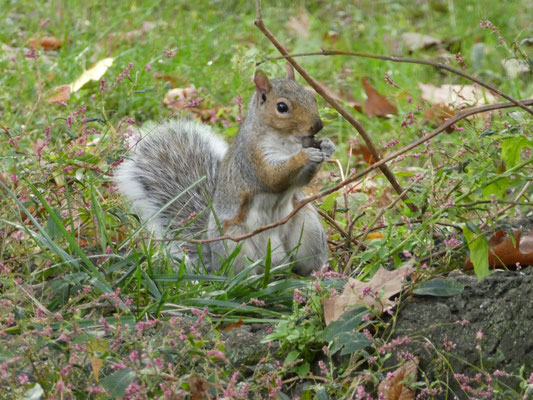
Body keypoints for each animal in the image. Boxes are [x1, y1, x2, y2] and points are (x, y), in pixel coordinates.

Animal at [114, 65, 334, 276]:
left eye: (312, 96)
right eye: (282, 107)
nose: (317, 126)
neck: (287, 140)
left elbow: (301, 180)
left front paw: (327, 145)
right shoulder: (251, 158)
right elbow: (272, 177)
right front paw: (304, 156)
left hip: (308, 229)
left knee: (302, 264)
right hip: (234, 244)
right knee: (240, 274)